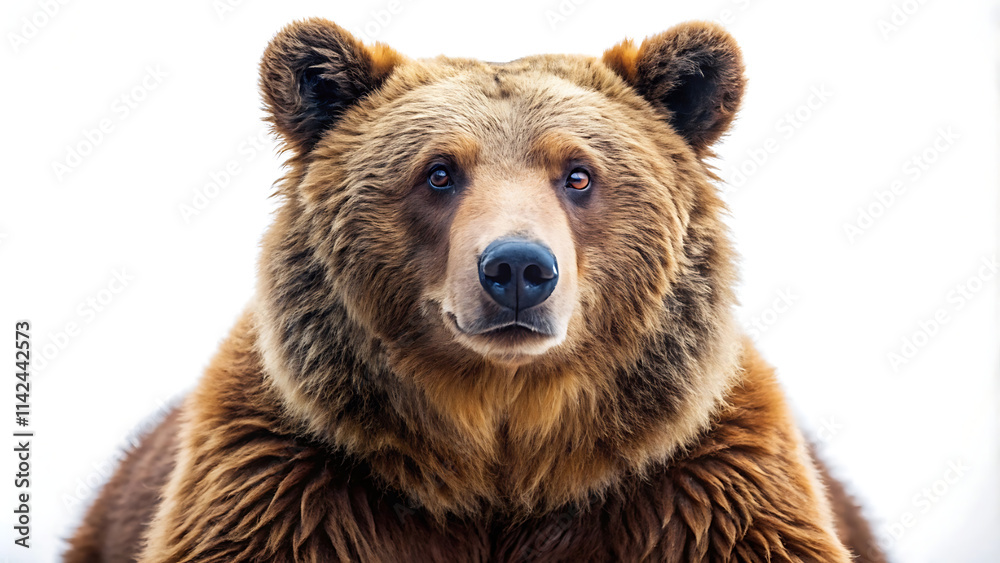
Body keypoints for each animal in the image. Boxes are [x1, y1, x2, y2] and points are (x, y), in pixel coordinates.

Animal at [65, 18, 885, 563]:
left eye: (578, 173)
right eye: (438, 171)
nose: (518, 268)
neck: (502, 457)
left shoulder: (694, 490)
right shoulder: (297, 489)